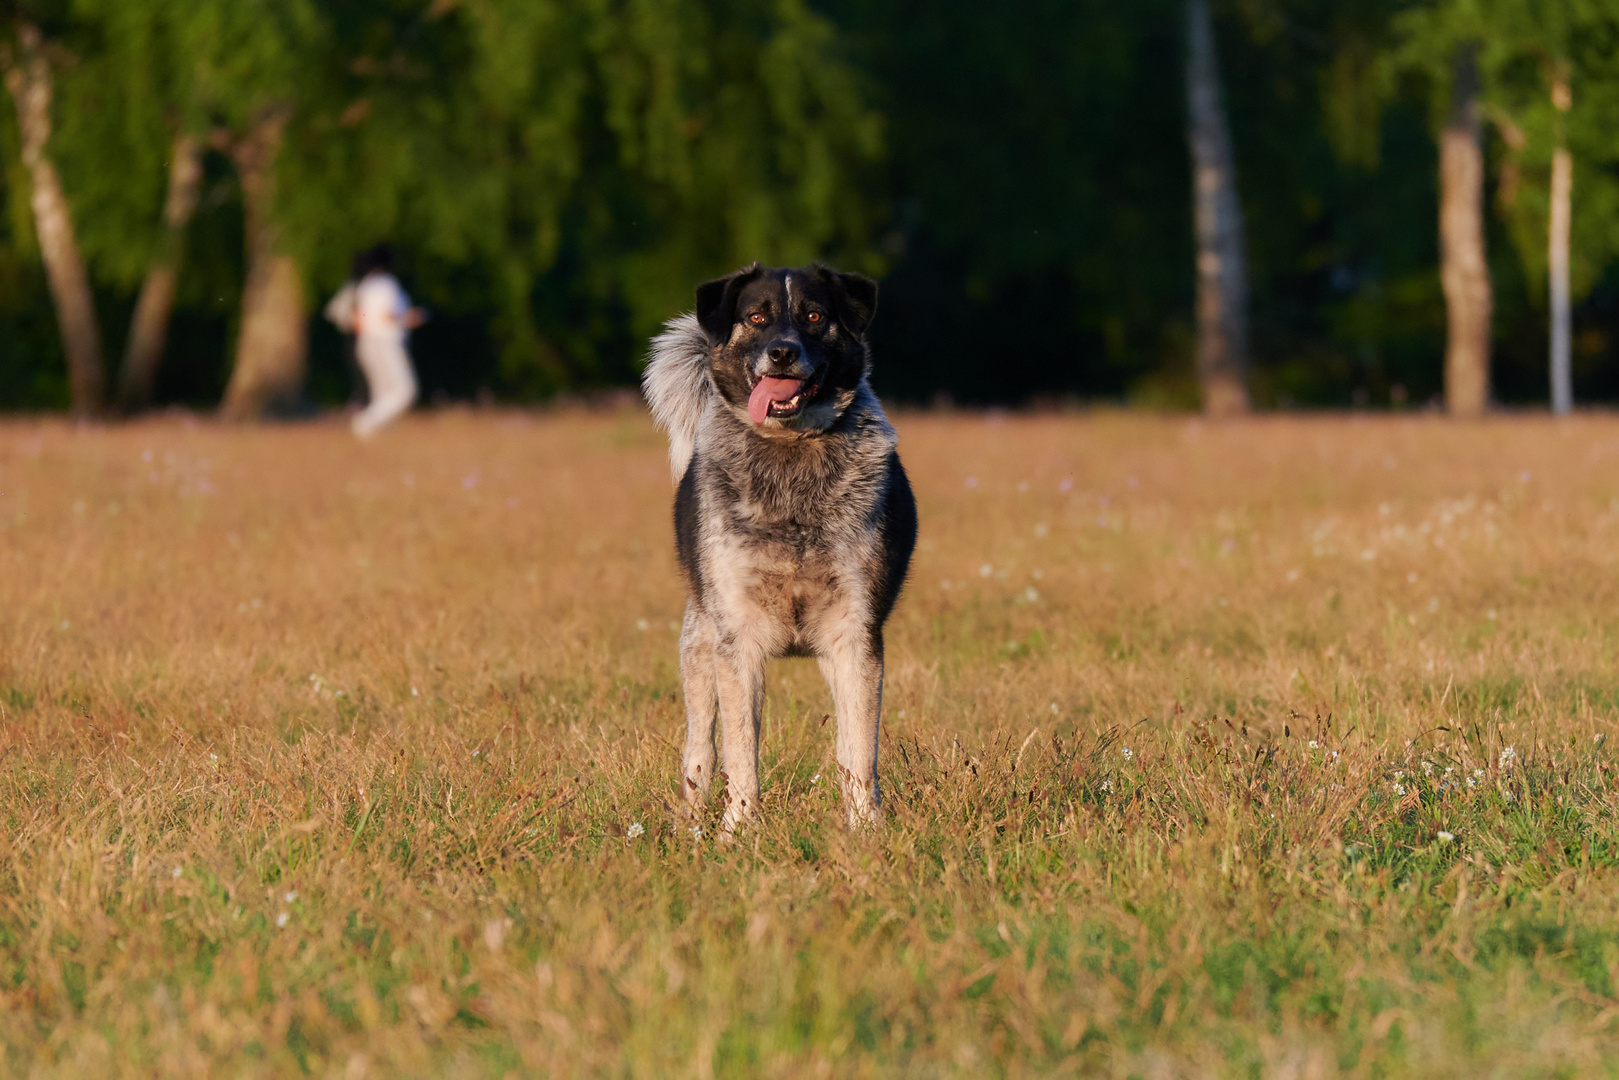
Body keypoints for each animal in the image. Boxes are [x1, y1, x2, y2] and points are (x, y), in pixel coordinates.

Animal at [644, 263, 926, 835]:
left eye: (814, 316)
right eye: (757, 317)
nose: (781, 352)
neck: (789, 456)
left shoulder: (855, 634)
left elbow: (860, 749)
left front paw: (867, 830)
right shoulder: (738, 640)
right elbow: (740, 752)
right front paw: (739, 831)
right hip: (699, 647)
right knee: (700, 750)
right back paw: (693, 822)